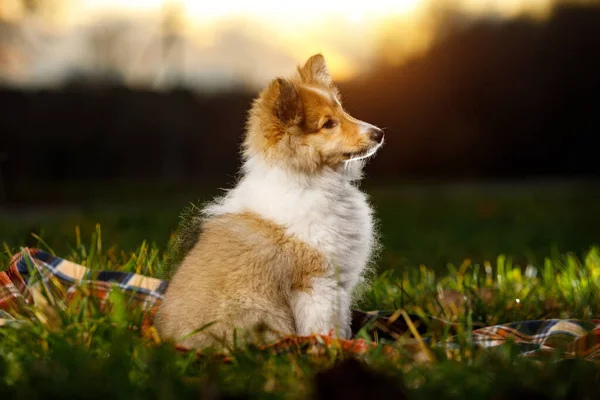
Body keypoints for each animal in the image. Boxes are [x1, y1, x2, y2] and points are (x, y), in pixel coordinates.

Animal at [155, 54, 384, 350]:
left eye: (343, 110)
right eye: (328, 124)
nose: (379, 133)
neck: (310, 182)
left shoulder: (338, 286)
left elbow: (341, 325)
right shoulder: (318, 282)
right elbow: (323, 328)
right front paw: (330, 350)